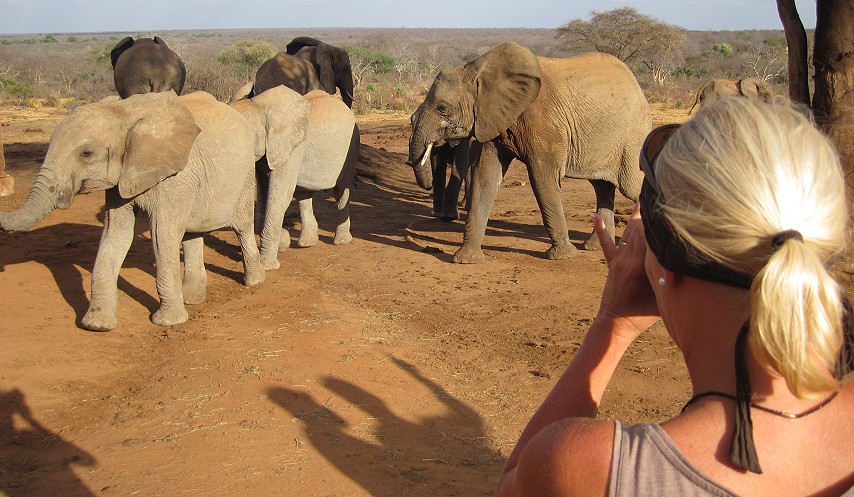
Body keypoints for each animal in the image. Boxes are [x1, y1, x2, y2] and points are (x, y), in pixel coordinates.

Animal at [0, 90, 264, 330]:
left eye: (86, 153)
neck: (124, 113)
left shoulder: (176, 176)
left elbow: (162, 236)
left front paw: (167, 322)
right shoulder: (121, 179)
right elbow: (115, 234)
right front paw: (97, 325)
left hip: (245, 173)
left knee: (241, 226)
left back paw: (253, 282)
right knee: (192, 233)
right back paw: (191, 299)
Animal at [406, 41, 648, 264]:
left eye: (442, 108)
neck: (478, 70)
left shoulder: (544, 120)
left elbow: (543, 178)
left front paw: (562, 256)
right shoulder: (494, 119)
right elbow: (486, 177)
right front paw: (466, 259)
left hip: (633, 134)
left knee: (633, 186)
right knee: (602, 187)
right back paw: (595, 247)